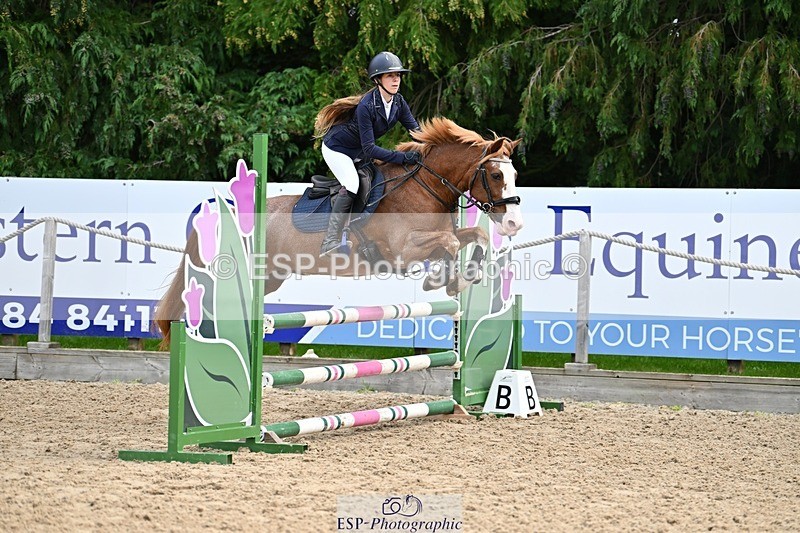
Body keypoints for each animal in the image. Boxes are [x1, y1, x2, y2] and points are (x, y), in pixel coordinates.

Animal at [154, 117, 523, 343]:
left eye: (515, 174)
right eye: (495, 175)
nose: (514, 224)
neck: (424, 188)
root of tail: (229, 214)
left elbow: (472, 237)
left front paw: (457, 278)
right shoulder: (403, 250)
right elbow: (449, 242)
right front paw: (442, 280)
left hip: (271, 277)